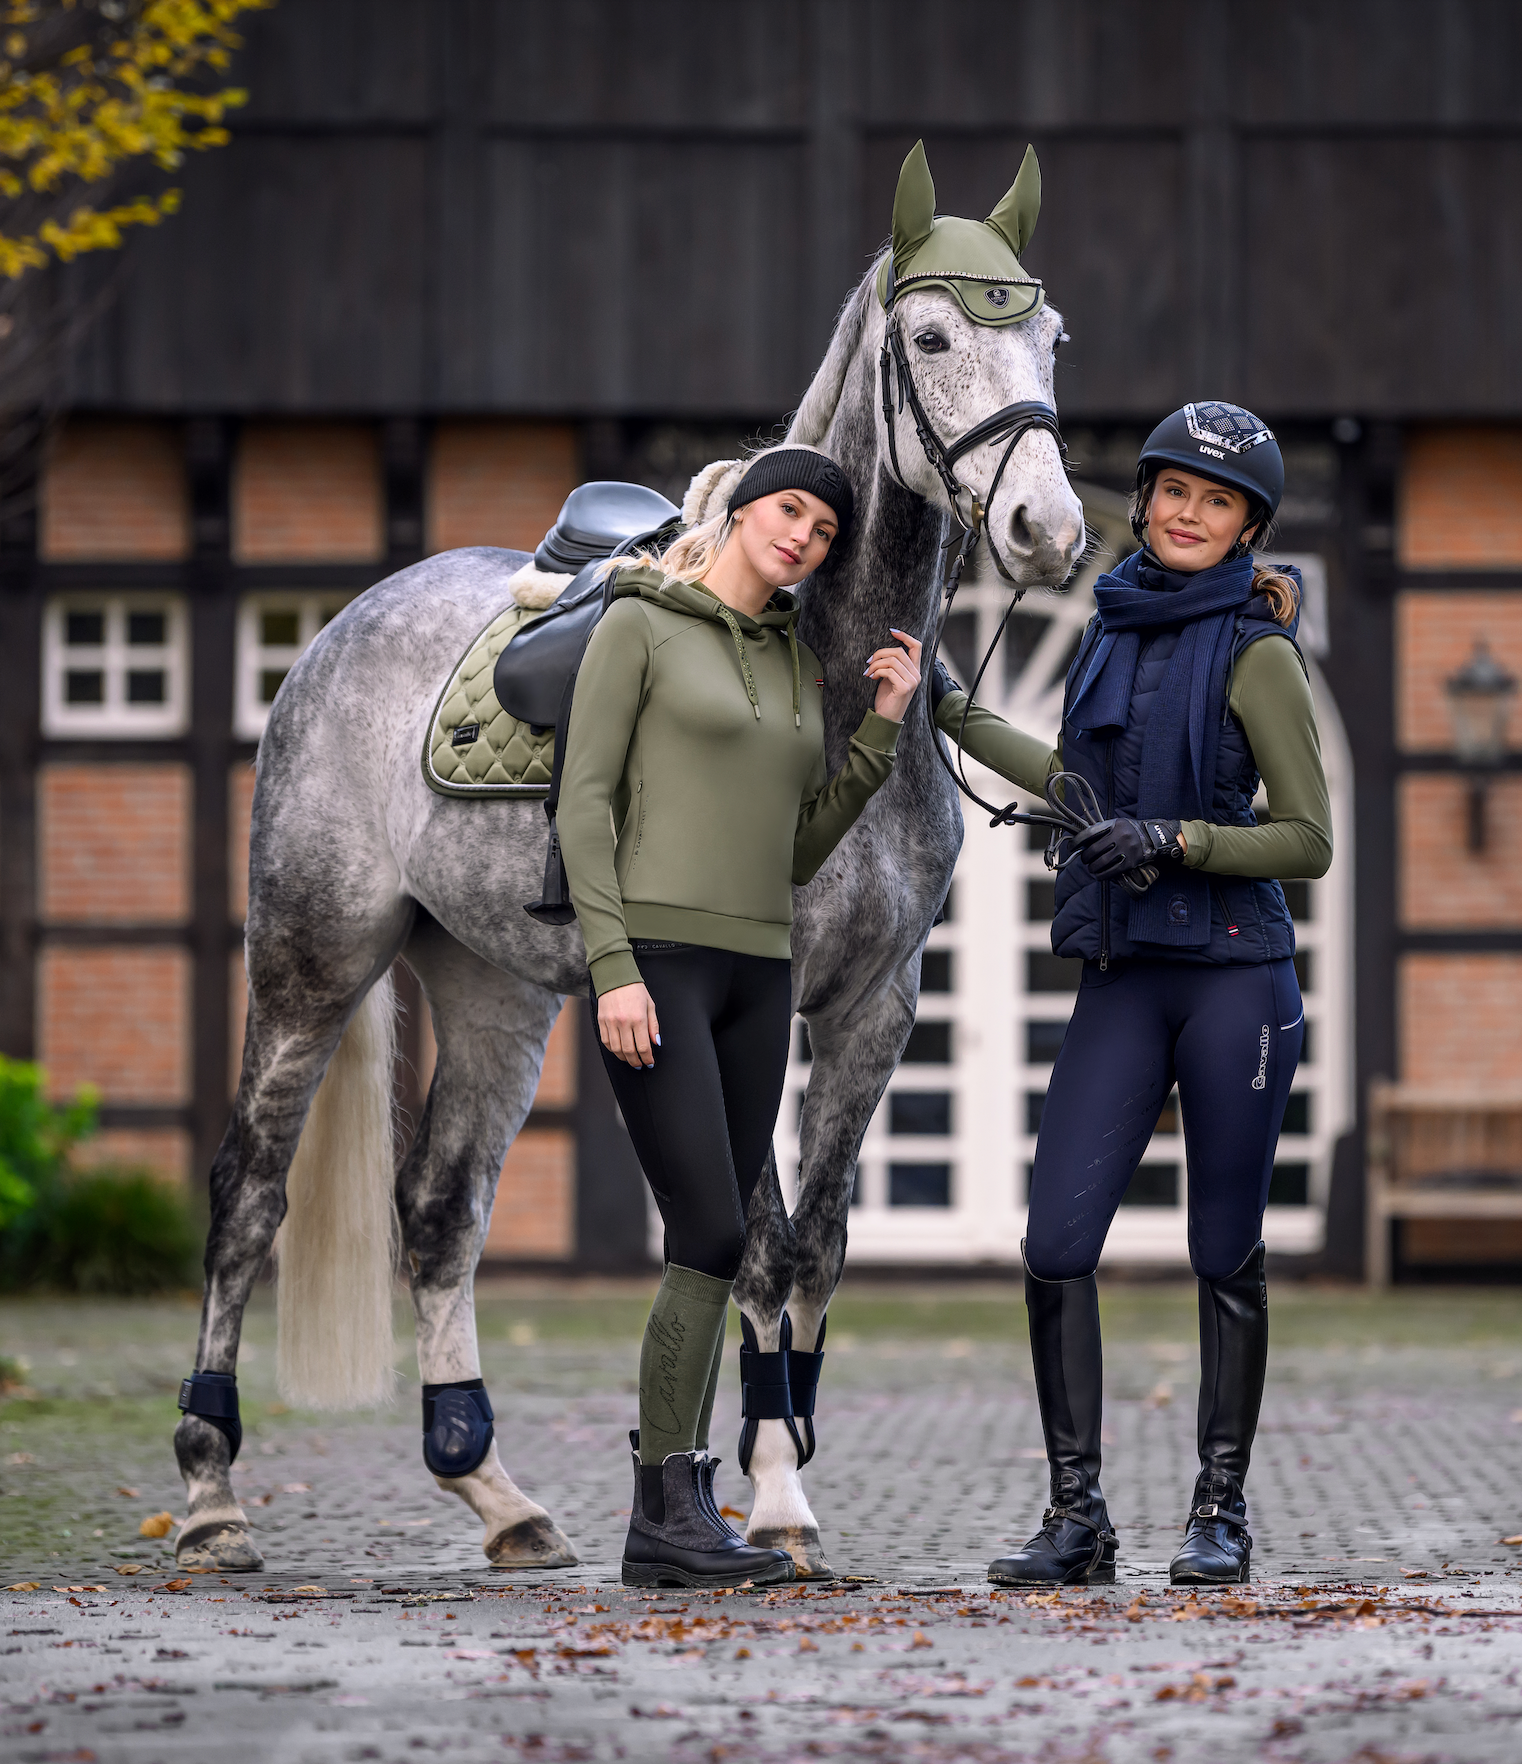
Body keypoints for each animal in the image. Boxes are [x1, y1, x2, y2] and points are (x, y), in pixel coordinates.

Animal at [170, 172, 1085, 1578]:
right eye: (931, 339)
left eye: (1050, 341)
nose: (1051, 529)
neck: (815, 672)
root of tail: (336, 632)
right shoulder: (758, 992)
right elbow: (758, 1248)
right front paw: (774, 1498)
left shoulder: (874, 1008)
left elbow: (815, 1250)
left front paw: (769, 1469)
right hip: (310, 962)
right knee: (247, 1197)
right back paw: (213, 1495)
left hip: (492, 990)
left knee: (440, 1209)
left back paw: (498, 1495)